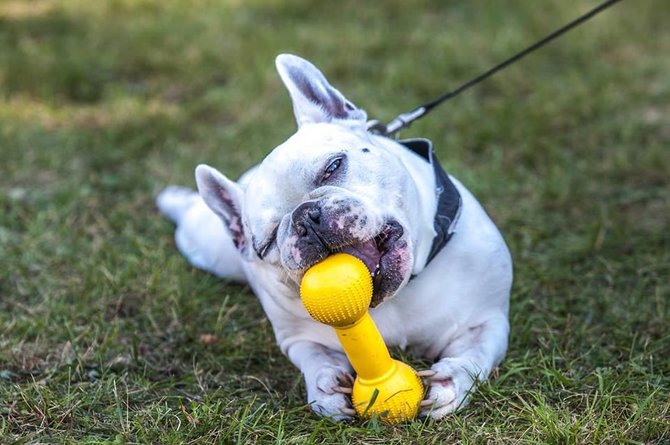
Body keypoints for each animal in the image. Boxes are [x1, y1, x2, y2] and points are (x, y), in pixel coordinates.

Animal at [158, 53, 516, 418]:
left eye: (333, 166)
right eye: (269, 240)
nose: (306, 217)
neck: (399, 295)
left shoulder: (488, 321)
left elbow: (476, 353)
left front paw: (451, 378)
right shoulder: (297, 338)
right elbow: (314, 356)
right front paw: (325, 383)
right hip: (210, 248)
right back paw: (171, 199)